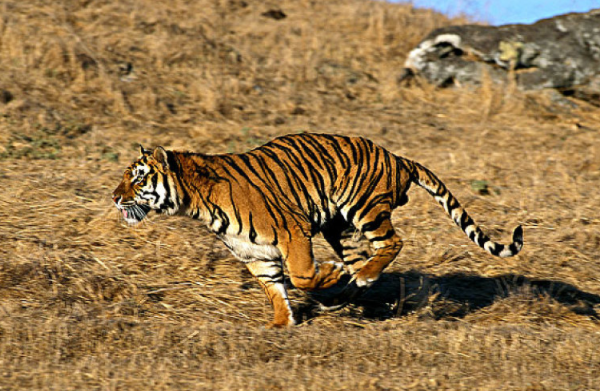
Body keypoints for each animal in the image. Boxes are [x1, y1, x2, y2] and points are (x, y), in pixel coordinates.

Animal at [113, 133, 524, 330]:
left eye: (138, 178)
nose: (115, 197)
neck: (194, 202)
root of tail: (397, 156)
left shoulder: (292, 232)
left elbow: (301, 275)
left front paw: (325, 276)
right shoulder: (255, 256)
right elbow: (275, 291)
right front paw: (281, 323)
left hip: (364, 207)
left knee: (393, 242)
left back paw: (351, 279)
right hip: (340, 227)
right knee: (366, 258)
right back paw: (349, 290)